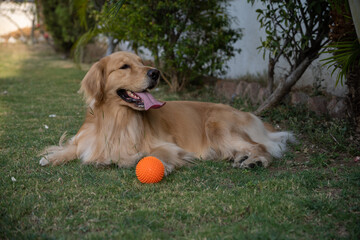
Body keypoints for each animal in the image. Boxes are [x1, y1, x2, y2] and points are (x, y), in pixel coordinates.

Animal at [39, 51, 294, 174]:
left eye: (141, 61)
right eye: (124, 66)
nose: (155, 72)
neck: (116, 119)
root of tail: (249, 115)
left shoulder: (166, 146)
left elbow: (132, 157)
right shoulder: (86, 139)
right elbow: (71, 147)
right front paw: (52, 157)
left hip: (217, 125)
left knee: (260, 147)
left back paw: (255, 161)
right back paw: (241, 157)